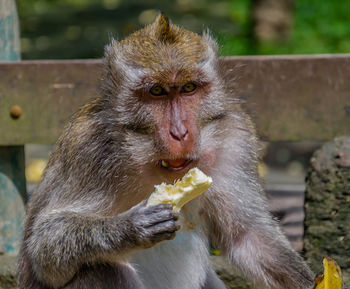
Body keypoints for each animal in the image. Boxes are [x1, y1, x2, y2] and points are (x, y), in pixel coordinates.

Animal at [17, 13, 316, 288]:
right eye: (157, 91)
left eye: (188, 88)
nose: (180, 133)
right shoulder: (88, 147)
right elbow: (45, 248)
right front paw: (129, 228)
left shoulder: (235, 136)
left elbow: (248, 237)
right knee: (102, 269)